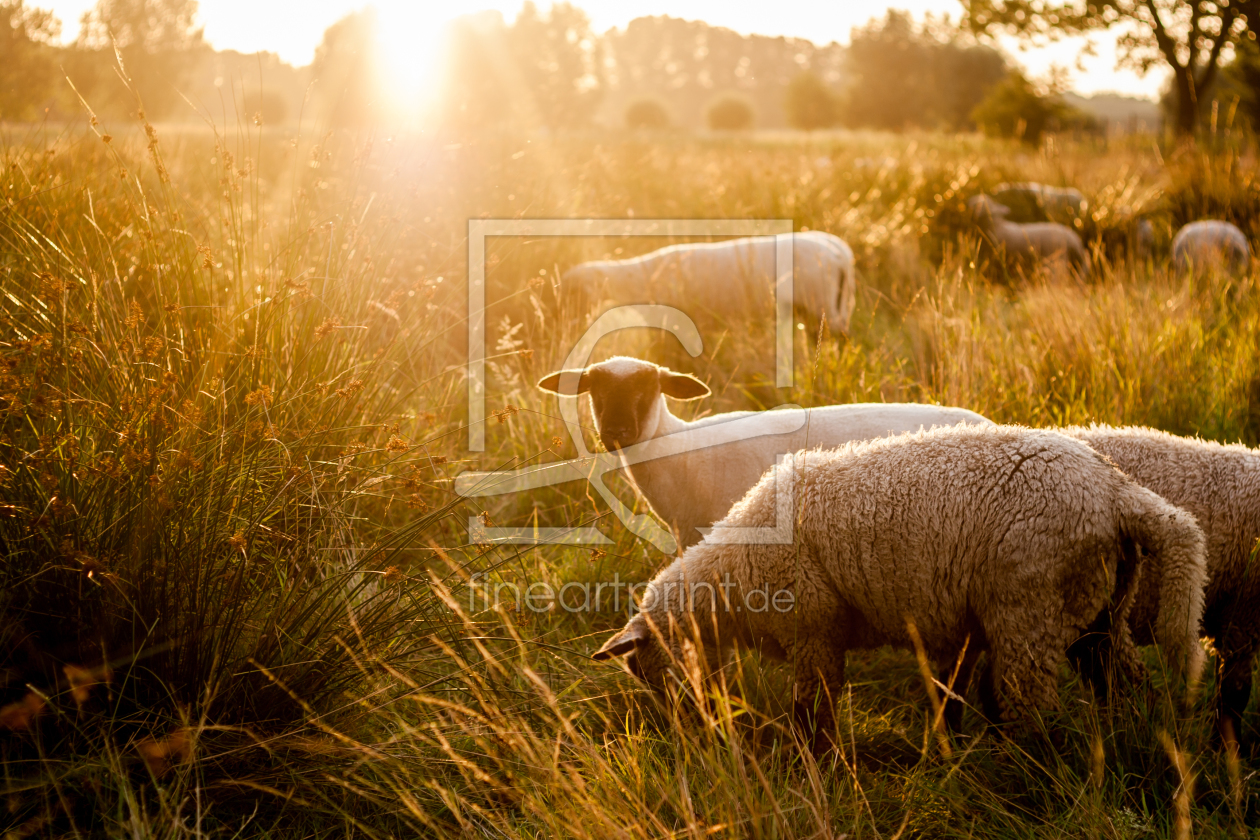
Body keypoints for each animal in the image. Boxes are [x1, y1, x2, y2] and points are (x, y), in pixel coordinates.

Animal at [594, 423, 1204, 740]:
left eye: (645, 670)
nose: (683, 732)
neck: (730, 576)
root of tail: (1116, 491)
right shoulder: (959, 627)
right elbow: (949, 693)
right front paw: (945, 747)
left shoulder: (814, 629)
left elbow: (812, 709)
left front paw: (814, 761)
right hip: (1100, 609)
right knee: (1125, 683)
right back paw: (1132, 736)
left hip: (1030, 609)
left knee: (1033, 708)